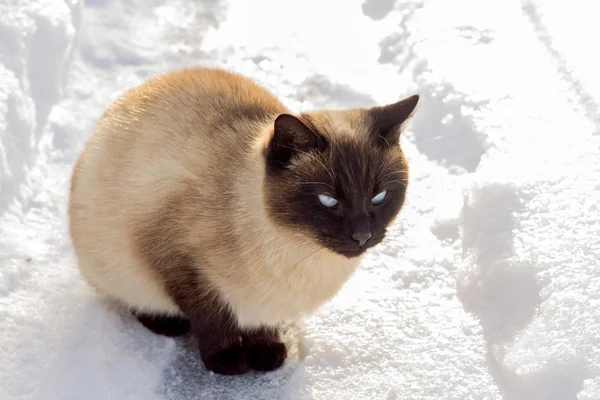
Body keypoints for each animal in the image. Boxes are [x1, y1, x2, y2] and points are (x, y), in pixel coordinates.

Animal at [68, 66, 420, 376]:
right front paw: (227, 361)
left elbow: (259, 324)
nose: (362, 235)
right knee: (132, 298)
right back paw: (168, 324)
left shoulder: (264, 299)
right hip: (117, 262)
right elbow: (212, 319)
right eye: (328, 200)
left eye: (379, 197)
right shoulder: (179, 262)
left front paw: (265, 354)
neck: (297, 250)